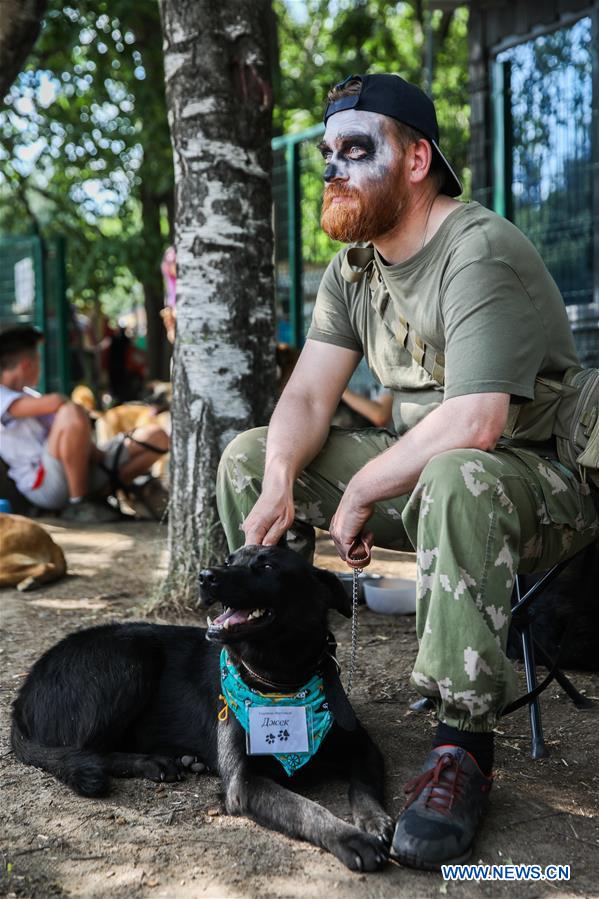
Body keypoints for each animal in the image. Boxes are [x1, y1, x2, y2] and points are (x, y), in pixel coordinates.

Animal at [11, 544, 394, 876]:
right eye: (229, 559)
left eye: (268, 566)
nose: (205, 576)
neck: (281, 682)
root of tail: (23, 693)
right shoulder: (244, 784)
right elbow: (306, 809)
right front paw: (350, 838)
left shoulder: (364, 747)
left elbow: (364, 787)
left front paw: (375, 821)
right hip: (132, 657)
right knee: (86, 750)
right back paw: (153, 762)